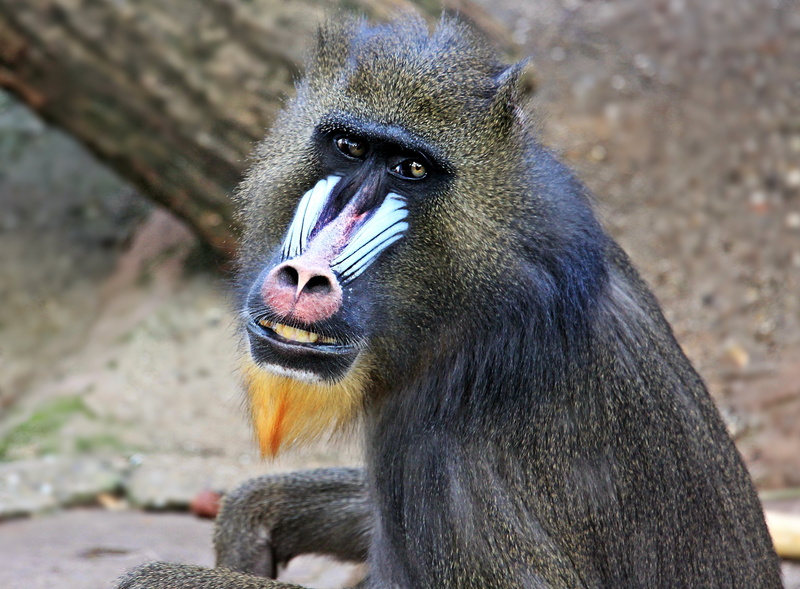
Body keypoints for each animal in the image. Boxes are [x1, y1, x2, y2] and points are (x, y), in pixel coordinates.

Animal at [118, 15, 782, 589]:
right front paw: (252, 518)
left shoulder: (454, 452)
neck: (472, 302)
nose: (306, 277)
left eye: (411, 168)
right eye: (349, 147)